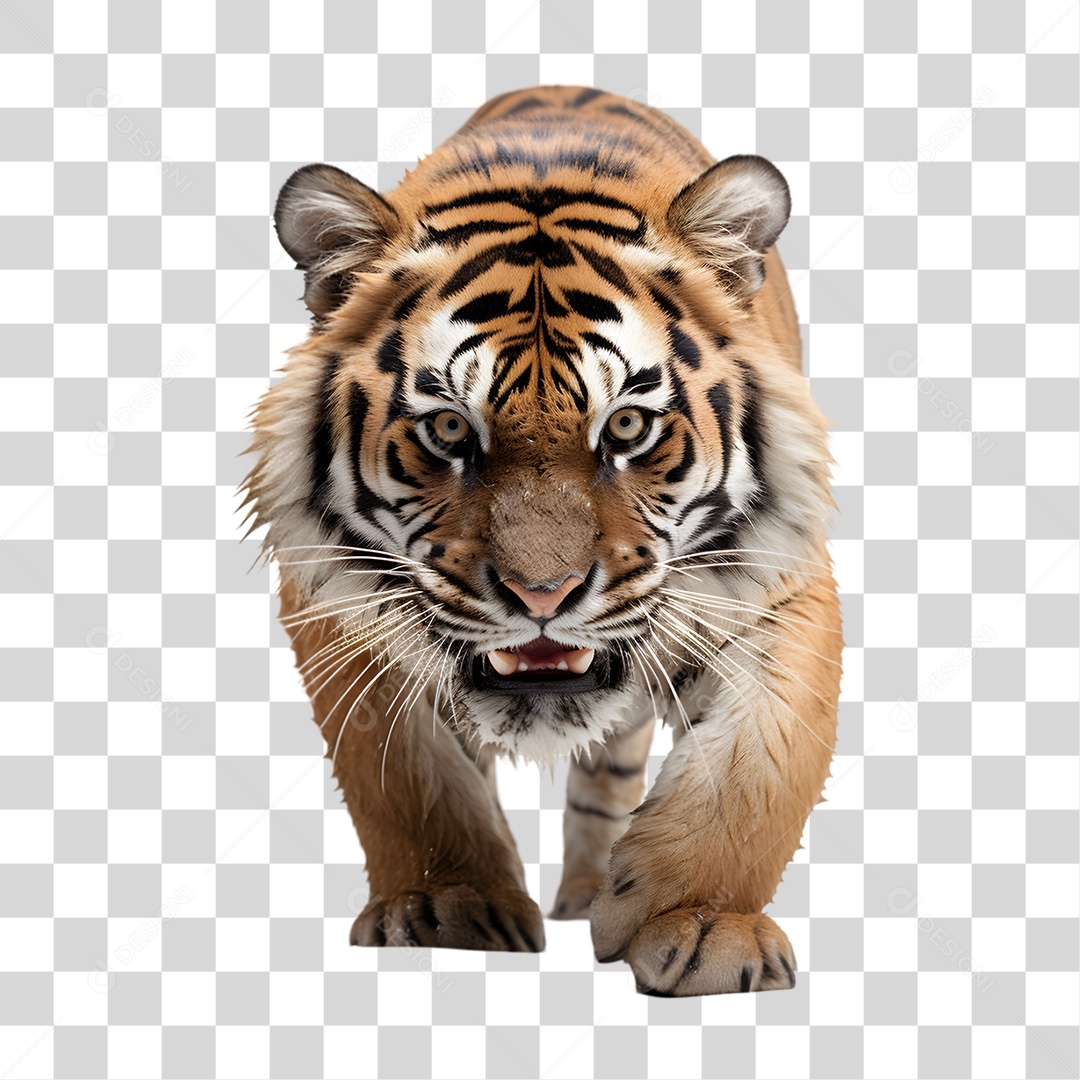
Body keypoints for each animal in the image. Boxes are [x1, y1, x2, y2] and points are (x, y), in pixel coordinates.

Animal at [244, 86, 843, 996]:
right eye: (450, 429)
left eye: (626, 426)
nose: (541, 596)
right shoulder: (339, 605)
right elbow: (407, 777)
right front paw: (444, 909)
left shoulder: (779, 581)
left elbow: (752, 771)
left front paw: (704, 924)